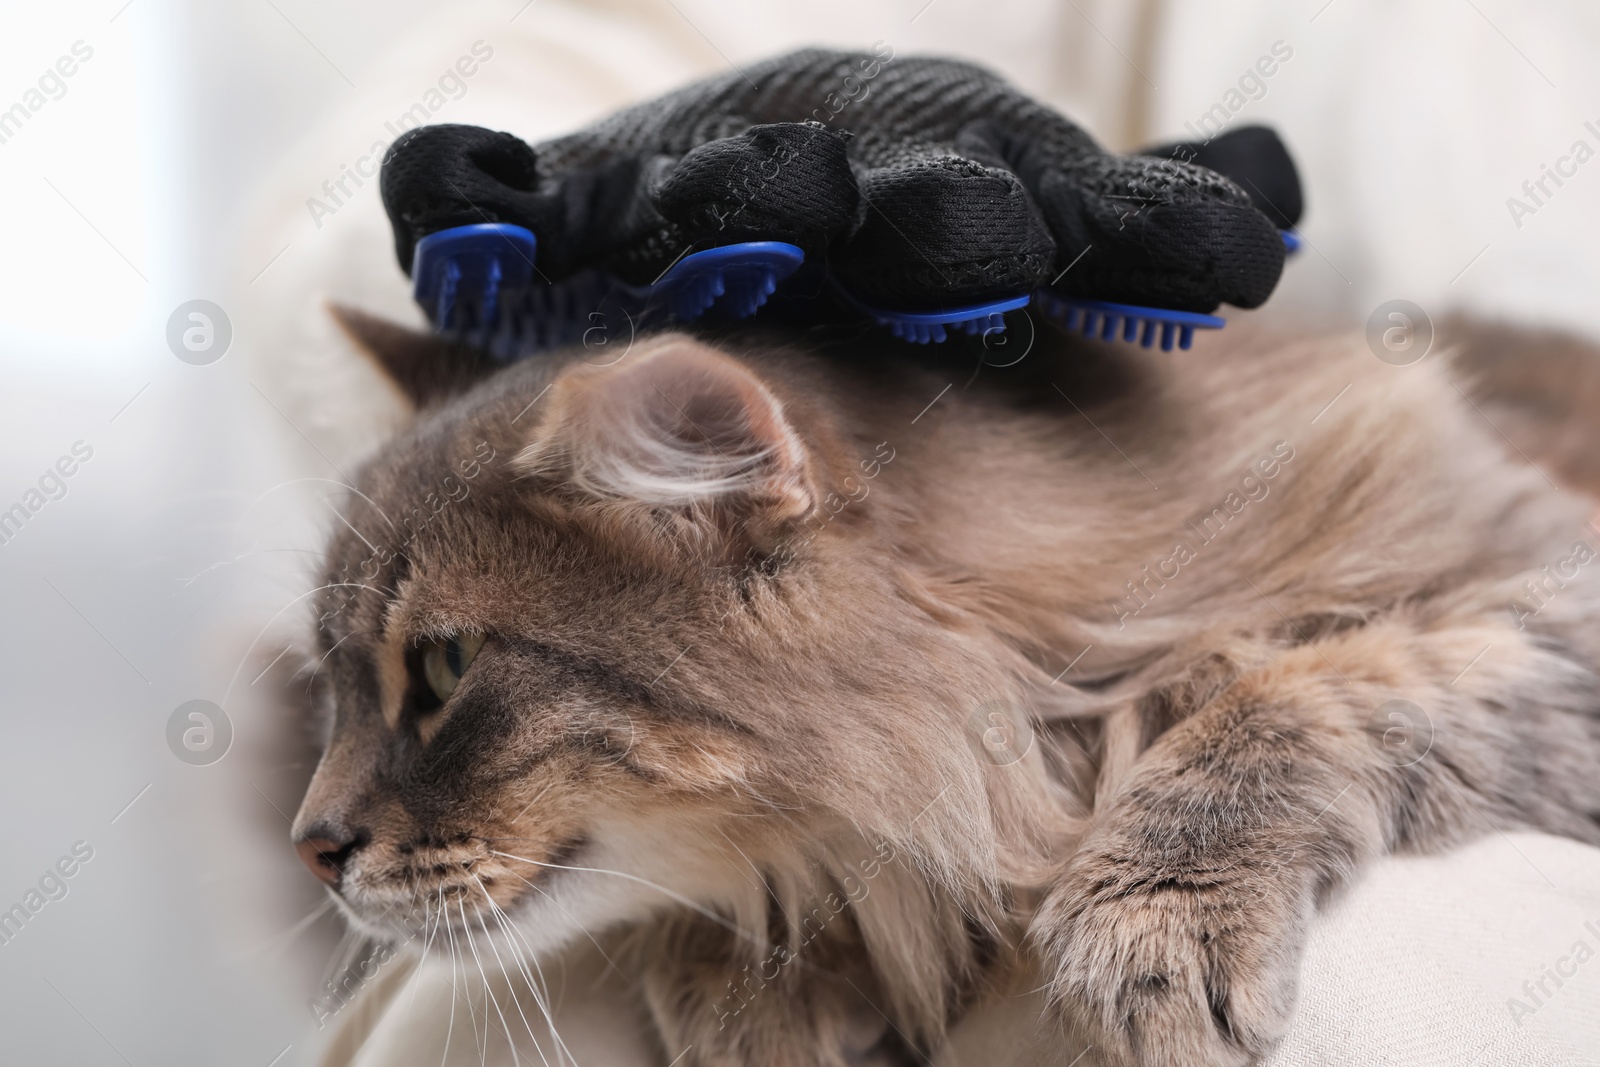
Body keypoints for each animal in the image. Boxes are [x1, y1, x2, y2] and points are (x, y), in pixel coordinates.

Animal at [294, 308, 1600, 1067]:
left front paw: (1151, 914)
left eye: (446, 668)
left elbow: (1295, 687)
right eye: (334, 684)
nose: (312, 846)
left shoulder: (1540, 589)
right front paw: (764, 986)